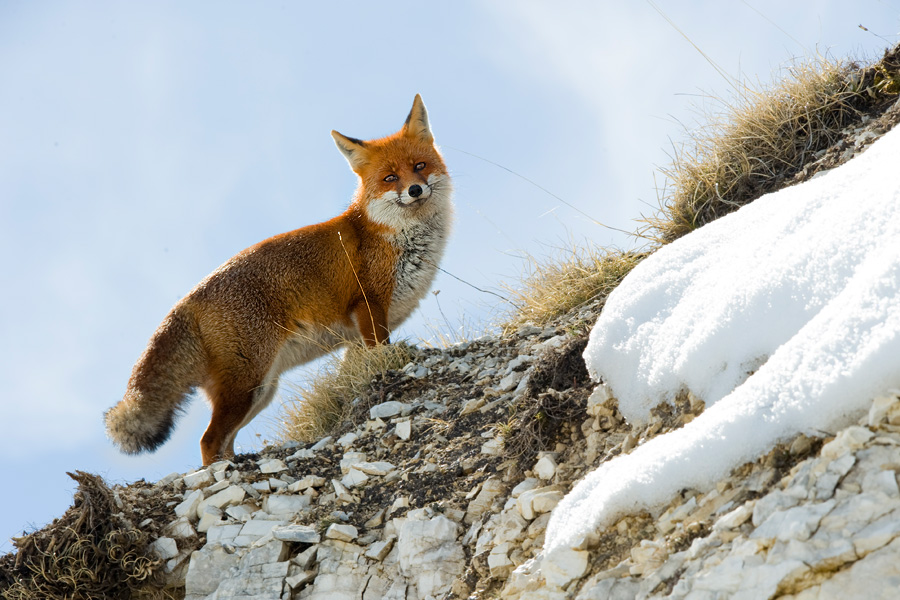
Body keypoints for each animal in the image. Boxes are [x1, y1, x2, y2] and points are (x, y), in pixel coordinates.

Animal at [105, 96, 454, 466]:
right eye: (390, 178)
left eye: (419, 166)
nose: (414, 189)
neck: (391, 235)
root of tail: (188, 298)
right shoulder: (369, 307)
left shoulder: (358, 336)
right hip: (247, 386)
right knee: (208, 440)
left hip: (259, 392)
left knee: (224, 439)